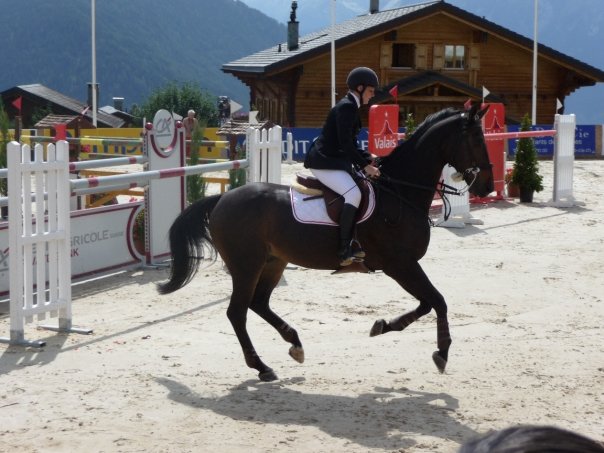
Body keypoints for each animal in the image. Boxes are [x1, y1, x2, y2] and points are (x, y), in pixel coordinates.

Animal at [158, 103, 494, 382]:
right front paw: (442, 353)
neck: (399, 191)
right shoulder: (400, 264)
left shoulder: (404, 266)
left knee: (258, 303)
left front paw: (383, 325)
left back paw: (294, 344)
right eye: (477, 140)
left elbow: (427, 303)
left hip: (273, 262)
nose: (487, 186)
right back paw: (262, 367)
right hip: (246, 265)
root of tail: (221, 200)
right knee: (237, 312)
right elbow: (438, 300)